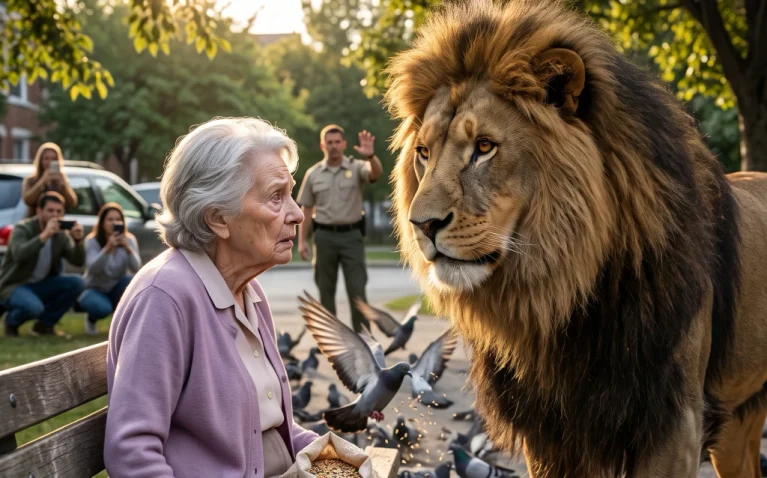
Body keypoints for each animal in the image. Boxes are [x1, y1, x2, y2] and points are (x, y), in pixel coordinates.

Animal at [384, 1, 767, 477]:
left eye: (485, 147)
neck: (563, 296)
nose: (421, 225)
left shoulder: (674, 423)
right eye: (423, 153)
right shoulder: (549, 432)